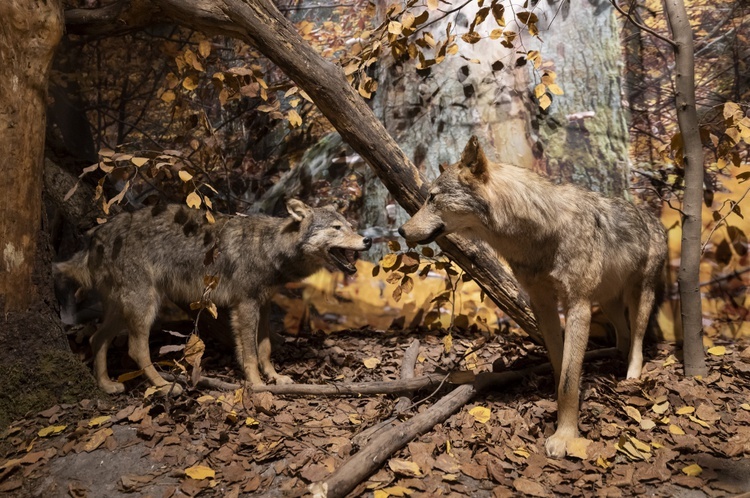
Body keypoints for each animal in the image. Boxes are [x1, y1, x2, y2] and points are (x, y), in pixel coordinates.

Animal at [54, 200, 372, 394]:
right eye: (336, 228)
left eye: (351, 226)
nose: (367, 240)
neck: (269, 247)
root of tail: (96, 237)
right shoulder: (245, 306)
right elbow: (250, 354)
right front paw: (257, 385)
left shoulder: (263, 305)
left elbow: (265, 349)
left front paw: (276, 378)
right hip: (144, 307)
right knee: (135, 349)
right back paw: (162, 385)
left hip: (123, 310)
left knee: (97, 338)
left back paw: (106, 385)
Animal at [400, 136, 668, 460]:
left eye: (432, 198)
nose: (400, 230)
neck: (540, 233)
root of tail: (654, 218)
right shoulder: (543, 305)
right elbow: (561, 366)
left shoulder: (577, 306)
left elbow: (568, 381)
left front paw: (565, 437)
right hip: (607, 302)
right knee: (624, 336)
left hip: (639, 297)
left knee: (638, 339)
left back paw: (631, 375)